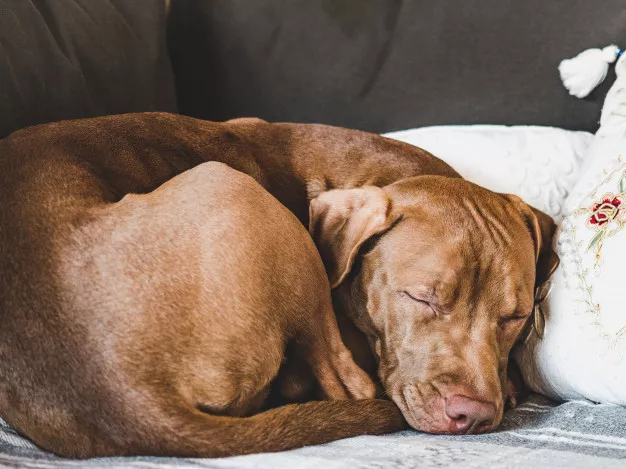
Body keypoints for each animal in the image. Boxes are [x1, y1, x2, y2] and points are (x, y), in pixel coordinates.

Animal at [0, 112, 556, 458]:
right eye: (421, 297)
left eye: (515, 317)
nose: (474, 414)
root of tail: (123, 399)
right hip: (244, 197)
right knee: (350, 386)